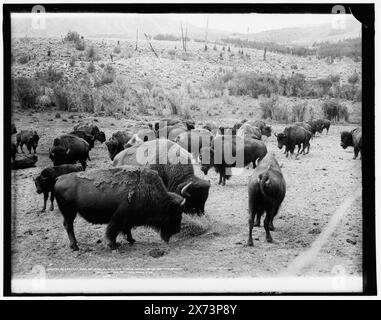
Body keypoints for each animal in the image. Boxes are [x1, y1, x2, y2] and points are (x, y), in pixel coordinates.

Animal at [53, 166, 186, 251]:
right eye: (176, 213)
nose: (177, 230)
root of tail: (59, 178)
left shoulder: (127, 218)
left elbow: (127, 229)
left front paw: (131, 240)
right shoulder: (119, 217)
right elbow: (113, 231)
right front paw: (113, 245)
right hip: (69, 212)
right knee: (69, 226)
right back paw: (75, 246)